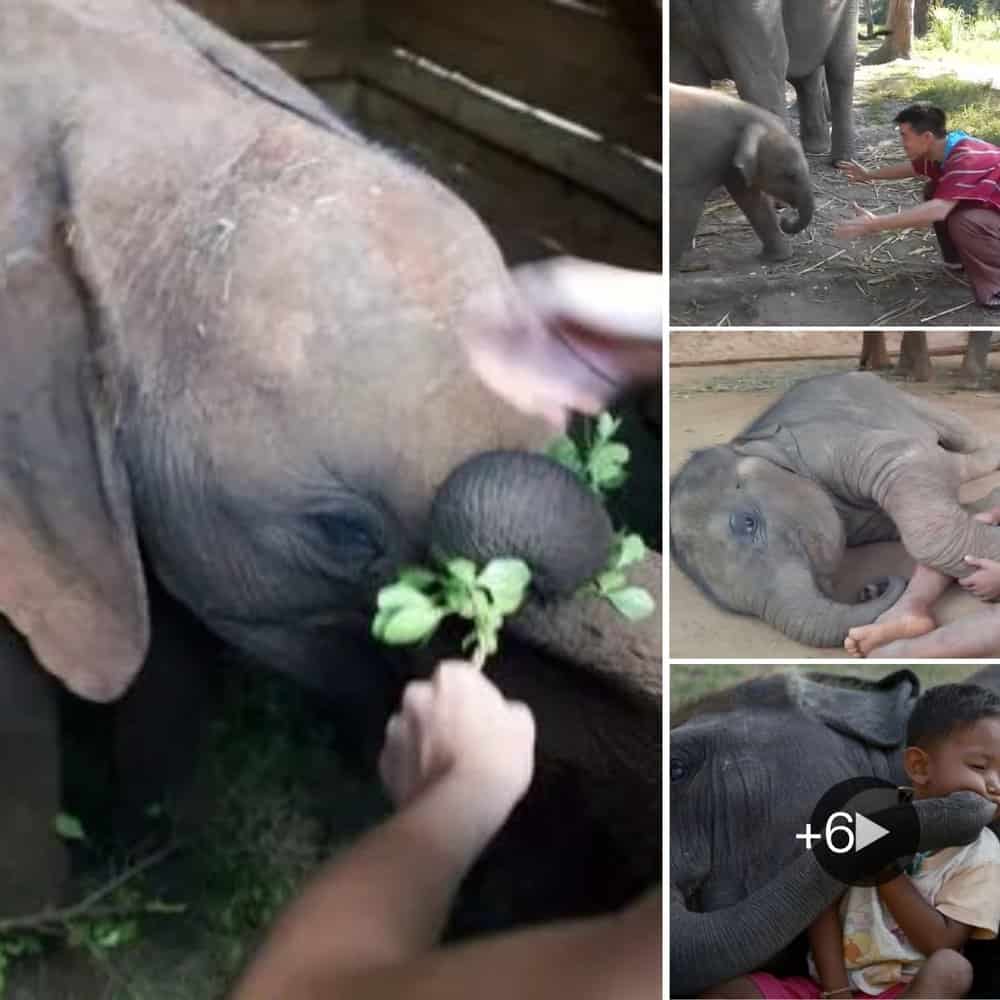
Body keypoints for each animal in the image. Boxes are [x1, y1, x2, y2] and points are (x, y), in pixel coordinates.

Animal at [669, 0, 857, 163]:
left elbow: (761, 76)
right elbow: (685, 79)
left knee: (840, 69)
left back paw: (841, 162)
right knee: (805, 76)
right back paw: (815, 149)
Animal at [670, 84, 815, 265]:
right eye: (790, 175)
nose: (786, 221)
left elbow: (752, 200)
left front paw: (778, 257)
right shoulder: (696, 159)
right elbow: (685, 210)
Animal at [670, 371, 1000, 647]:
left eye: (747, 522)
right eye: (723, 603)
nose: (872, 587)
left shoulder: (831, 445)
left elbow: (914, 461)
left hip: (902, 397)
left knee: (965, 437)